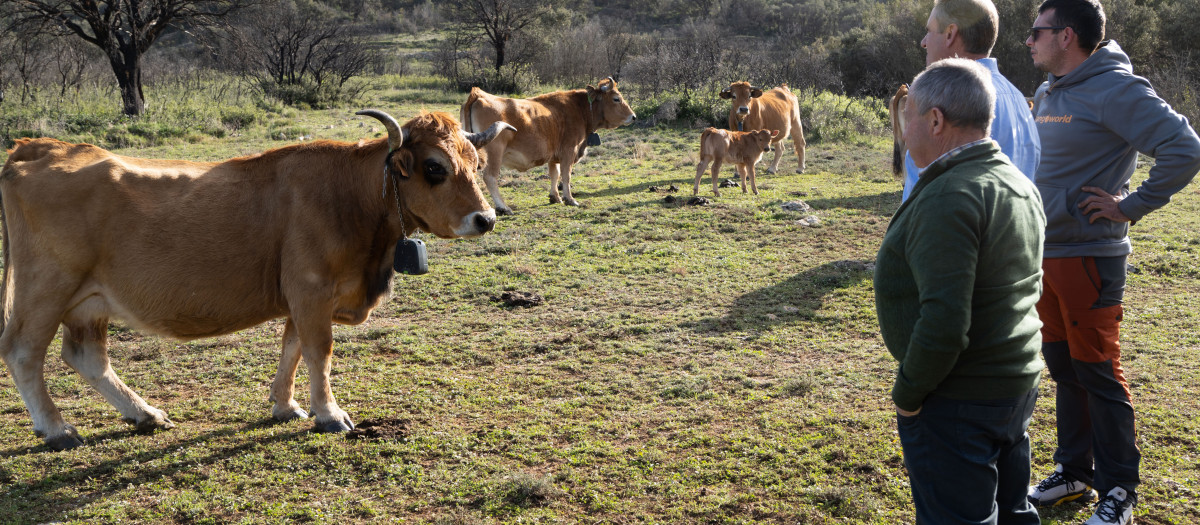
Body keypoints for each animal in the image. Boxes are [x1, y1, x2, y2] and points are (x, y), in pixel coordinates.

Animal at [0, 108, 511, 448]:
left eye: (476, 164)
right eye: (434, 168)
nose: (485, 219)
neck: (350, 194)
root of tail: (38, 147)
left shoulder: (304, 296)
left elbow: (293, 348)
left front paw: (285, 406)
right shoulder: (311, 290)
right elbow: (319, 352)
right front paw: (330, 414)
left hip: (89, 301)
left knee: (87, 356)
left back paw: (143, 413)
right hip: (45, 290)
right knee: (24, 352)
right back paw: (57, 429)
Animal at [458, 75, 638, 213]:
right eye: (616, 99)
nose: (634, 116)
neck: (579, 108)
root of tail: (478, 95)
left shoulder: (554, 156)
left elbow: (554, 174)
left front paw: (555, 197)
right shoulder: (568, 152)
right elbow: (566, 175)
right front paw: (570, 199)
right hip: (494, 153)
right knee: (490, 177)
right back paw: (503, 207)